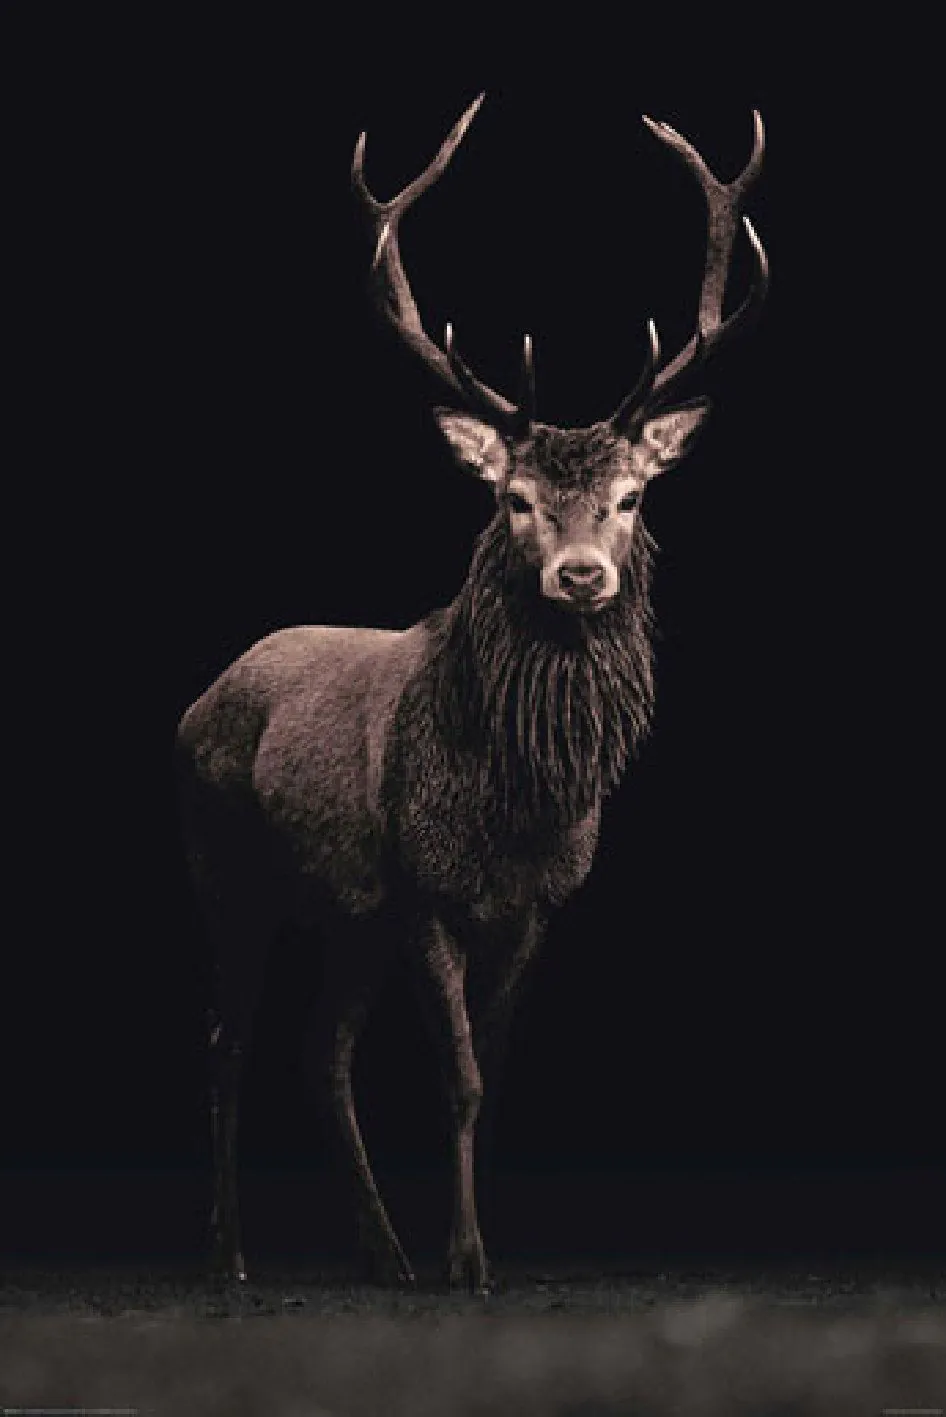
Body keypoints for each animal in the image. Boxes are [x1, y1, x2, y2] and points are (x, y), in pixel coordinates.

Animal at [175, 94, 768, 1293]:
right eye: (515, 498)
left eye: (630, 496)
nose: (580, 576)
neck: (514, 808)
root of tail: (198, 700)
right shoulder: (425, 889)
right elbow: (456, 1076)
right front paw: (469, 1258)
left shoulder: (532, 906)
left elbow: (488, 1081)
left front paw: (466, 1244)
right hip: (228, 865)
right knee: (229, 1040)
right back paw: (231, 1253)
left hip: (346, 910)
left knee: (321, 1050)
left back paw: (382, 1251)